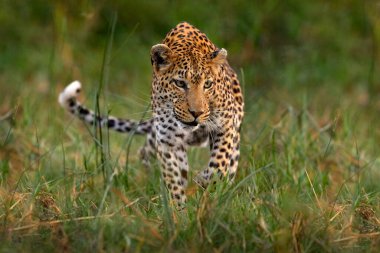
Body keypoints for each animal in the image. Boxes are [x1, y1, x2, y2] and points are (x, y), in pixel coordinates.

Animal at [58, 21, 245, 208]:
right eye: (179, 83)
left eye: (207, 84)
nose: (196, 113)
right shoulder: (168, 141)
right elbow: (173, 179)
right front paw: (178, 210)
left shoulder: (226, 126)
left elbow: (218, 164)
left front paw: (203, 181)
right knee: (146, 152)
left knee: (230, 164)